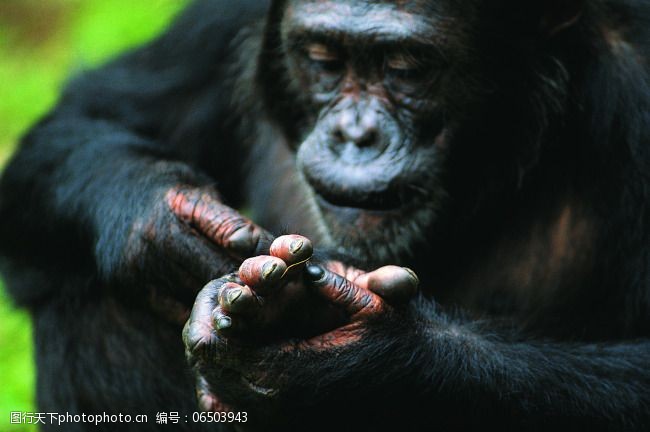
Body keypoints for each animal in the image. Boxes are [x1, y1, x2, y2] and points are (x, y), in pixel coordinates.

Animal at [1, 0, 648, 430]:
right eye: (324, 60)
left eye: (407, 68)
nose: (354, 133)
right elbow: (92, 111)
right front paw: (164, 232)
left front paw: (368, 362)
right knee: (94, 298)